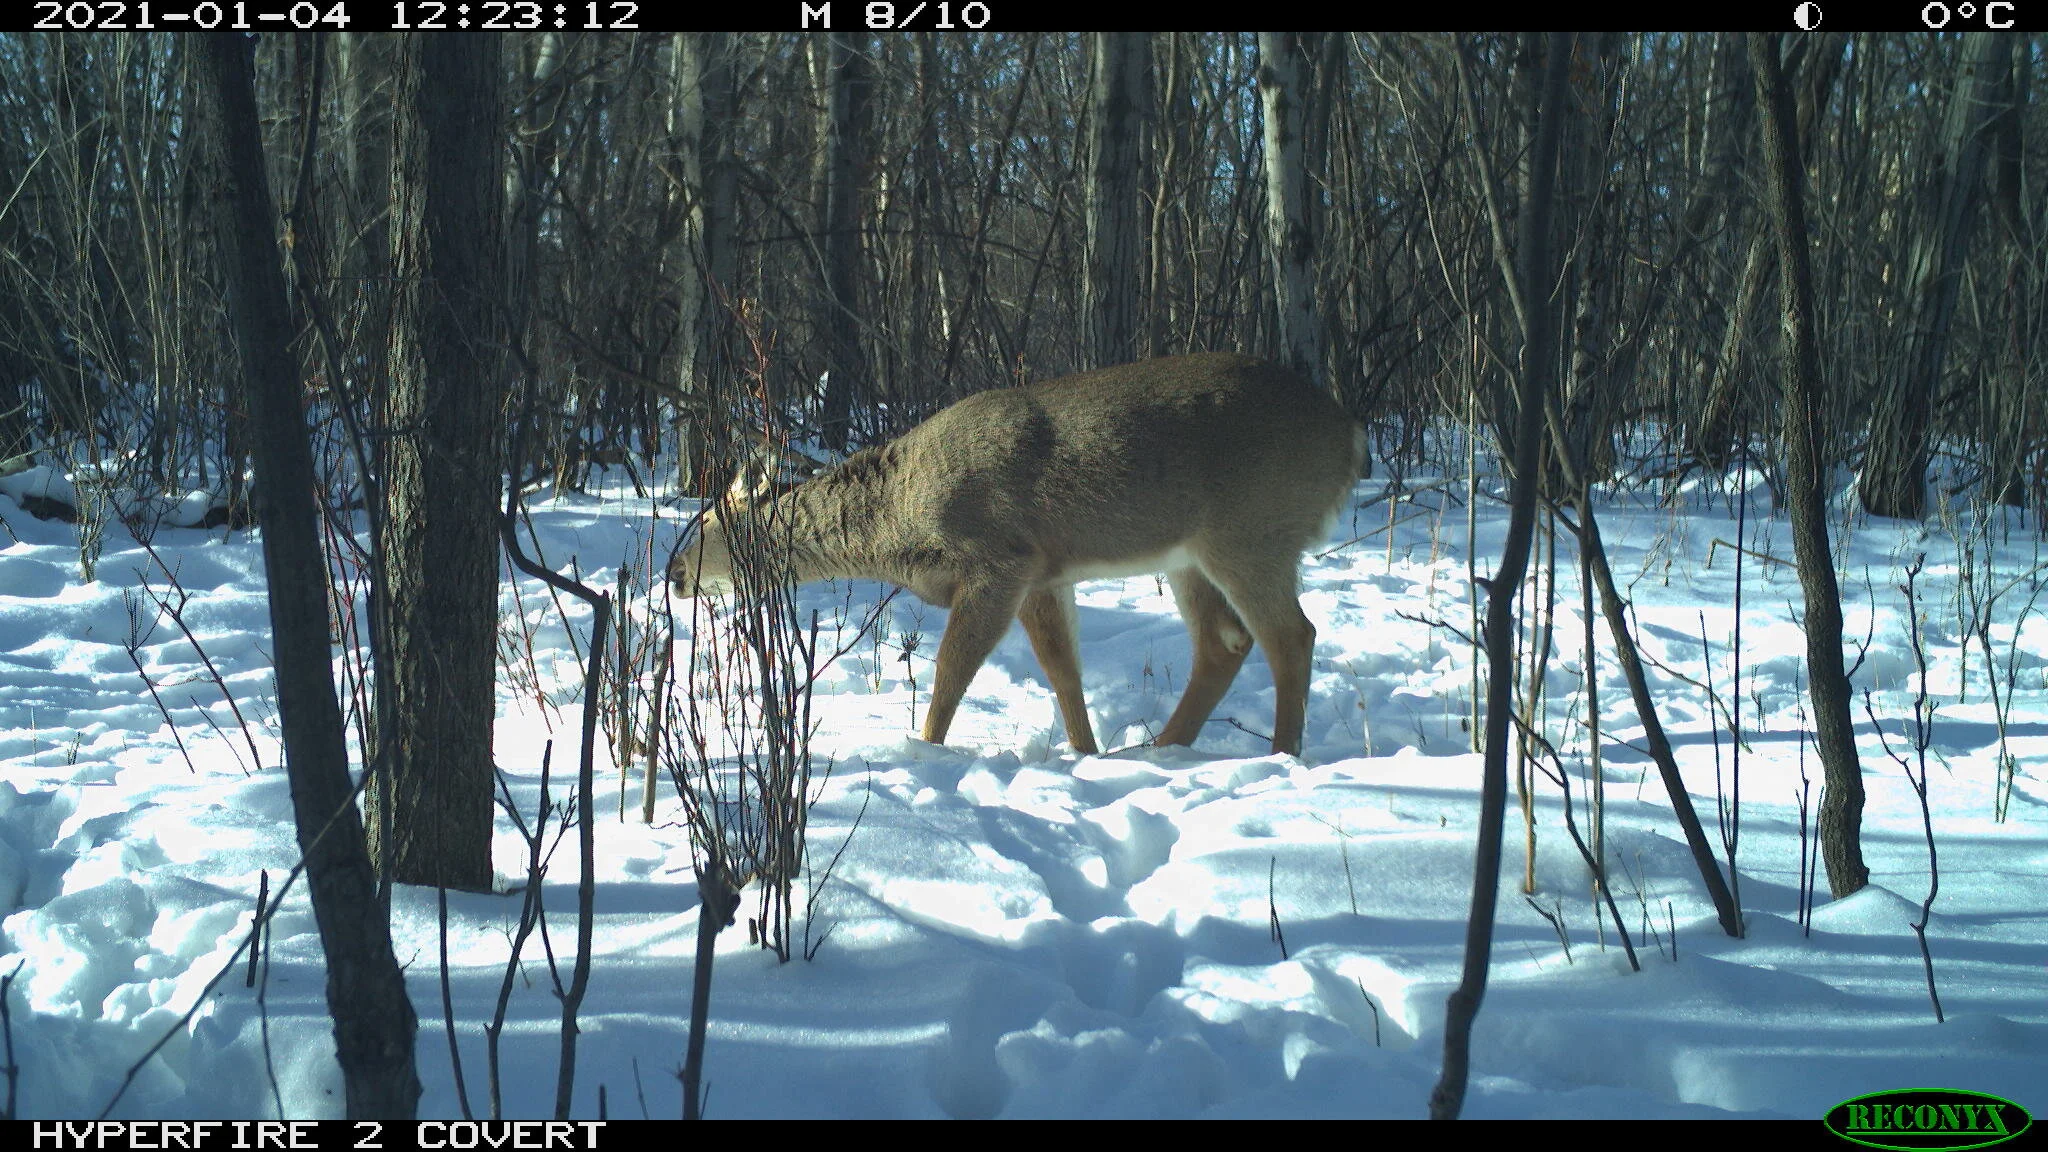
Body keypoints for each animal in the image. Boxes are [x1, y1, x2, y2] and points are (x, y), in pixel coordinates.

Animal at [668, 353, 1366, 757]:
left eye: (702, 524)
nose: (671, 575)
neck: (901, 525)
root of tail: (1351, 433)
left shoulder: (998, 557)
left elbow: (951, 671)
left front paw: (924, 752)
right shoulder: (1042, 571)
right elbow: (1062, 669)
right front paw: (1084, 754)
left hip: (1251, 531)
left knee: (1290, 636)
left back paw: (1281, 756)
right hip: (1189, 556)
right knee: (1225, 643)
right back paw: (1160, 749)